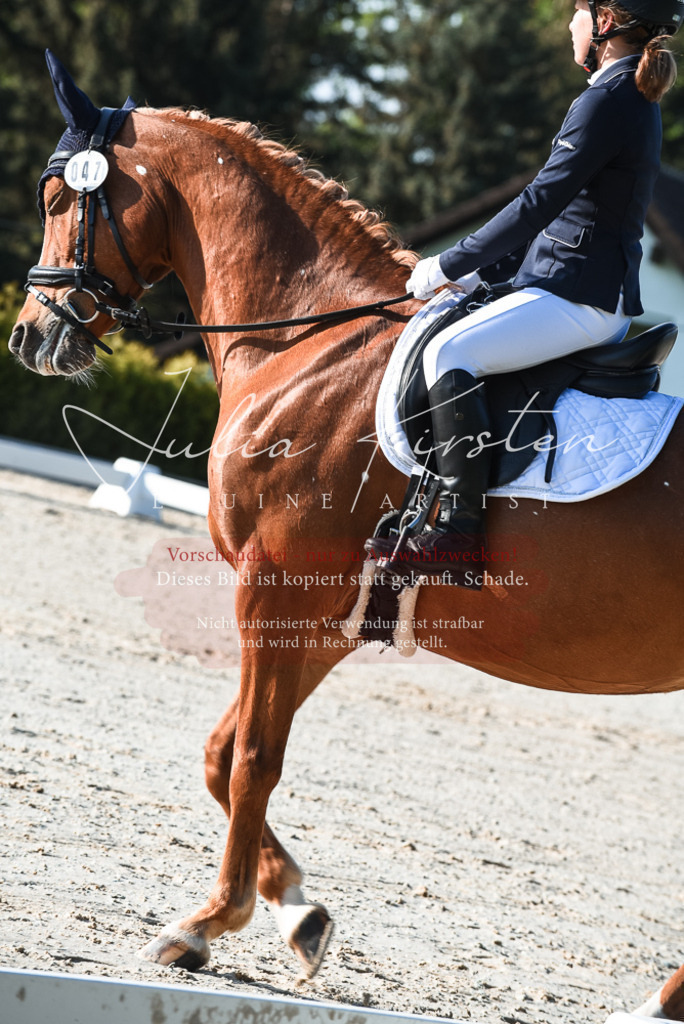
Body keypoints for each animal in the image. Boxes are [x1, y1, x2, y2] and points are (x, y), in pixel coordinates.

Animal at [9, 69, 684, 1018]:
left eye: (60, 197)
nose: (29, 336)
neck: (307, 338)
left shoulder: (273, 588)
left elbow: (254, 760)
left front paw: (208, 923)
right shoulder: (329, 615)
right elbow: (223, 754)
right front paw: (300, 913)